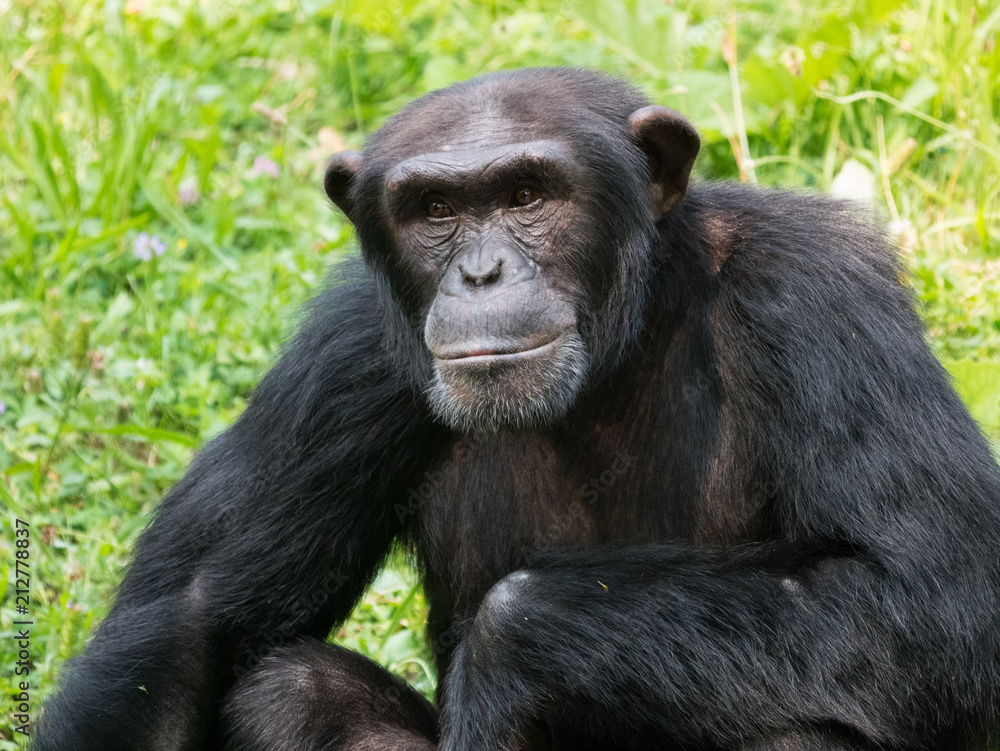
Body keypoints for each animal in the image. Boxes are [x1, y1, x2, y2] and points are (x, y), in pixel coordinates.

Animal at [33, 67, 1000, 748]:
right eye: (434, 209)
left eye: (529, 195)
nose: (480, 273)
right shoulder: (344, 358)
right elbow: (192, 619)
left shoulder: (816, 293)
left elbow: (932, 593)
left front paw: (510, 645)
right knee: (290, 690)